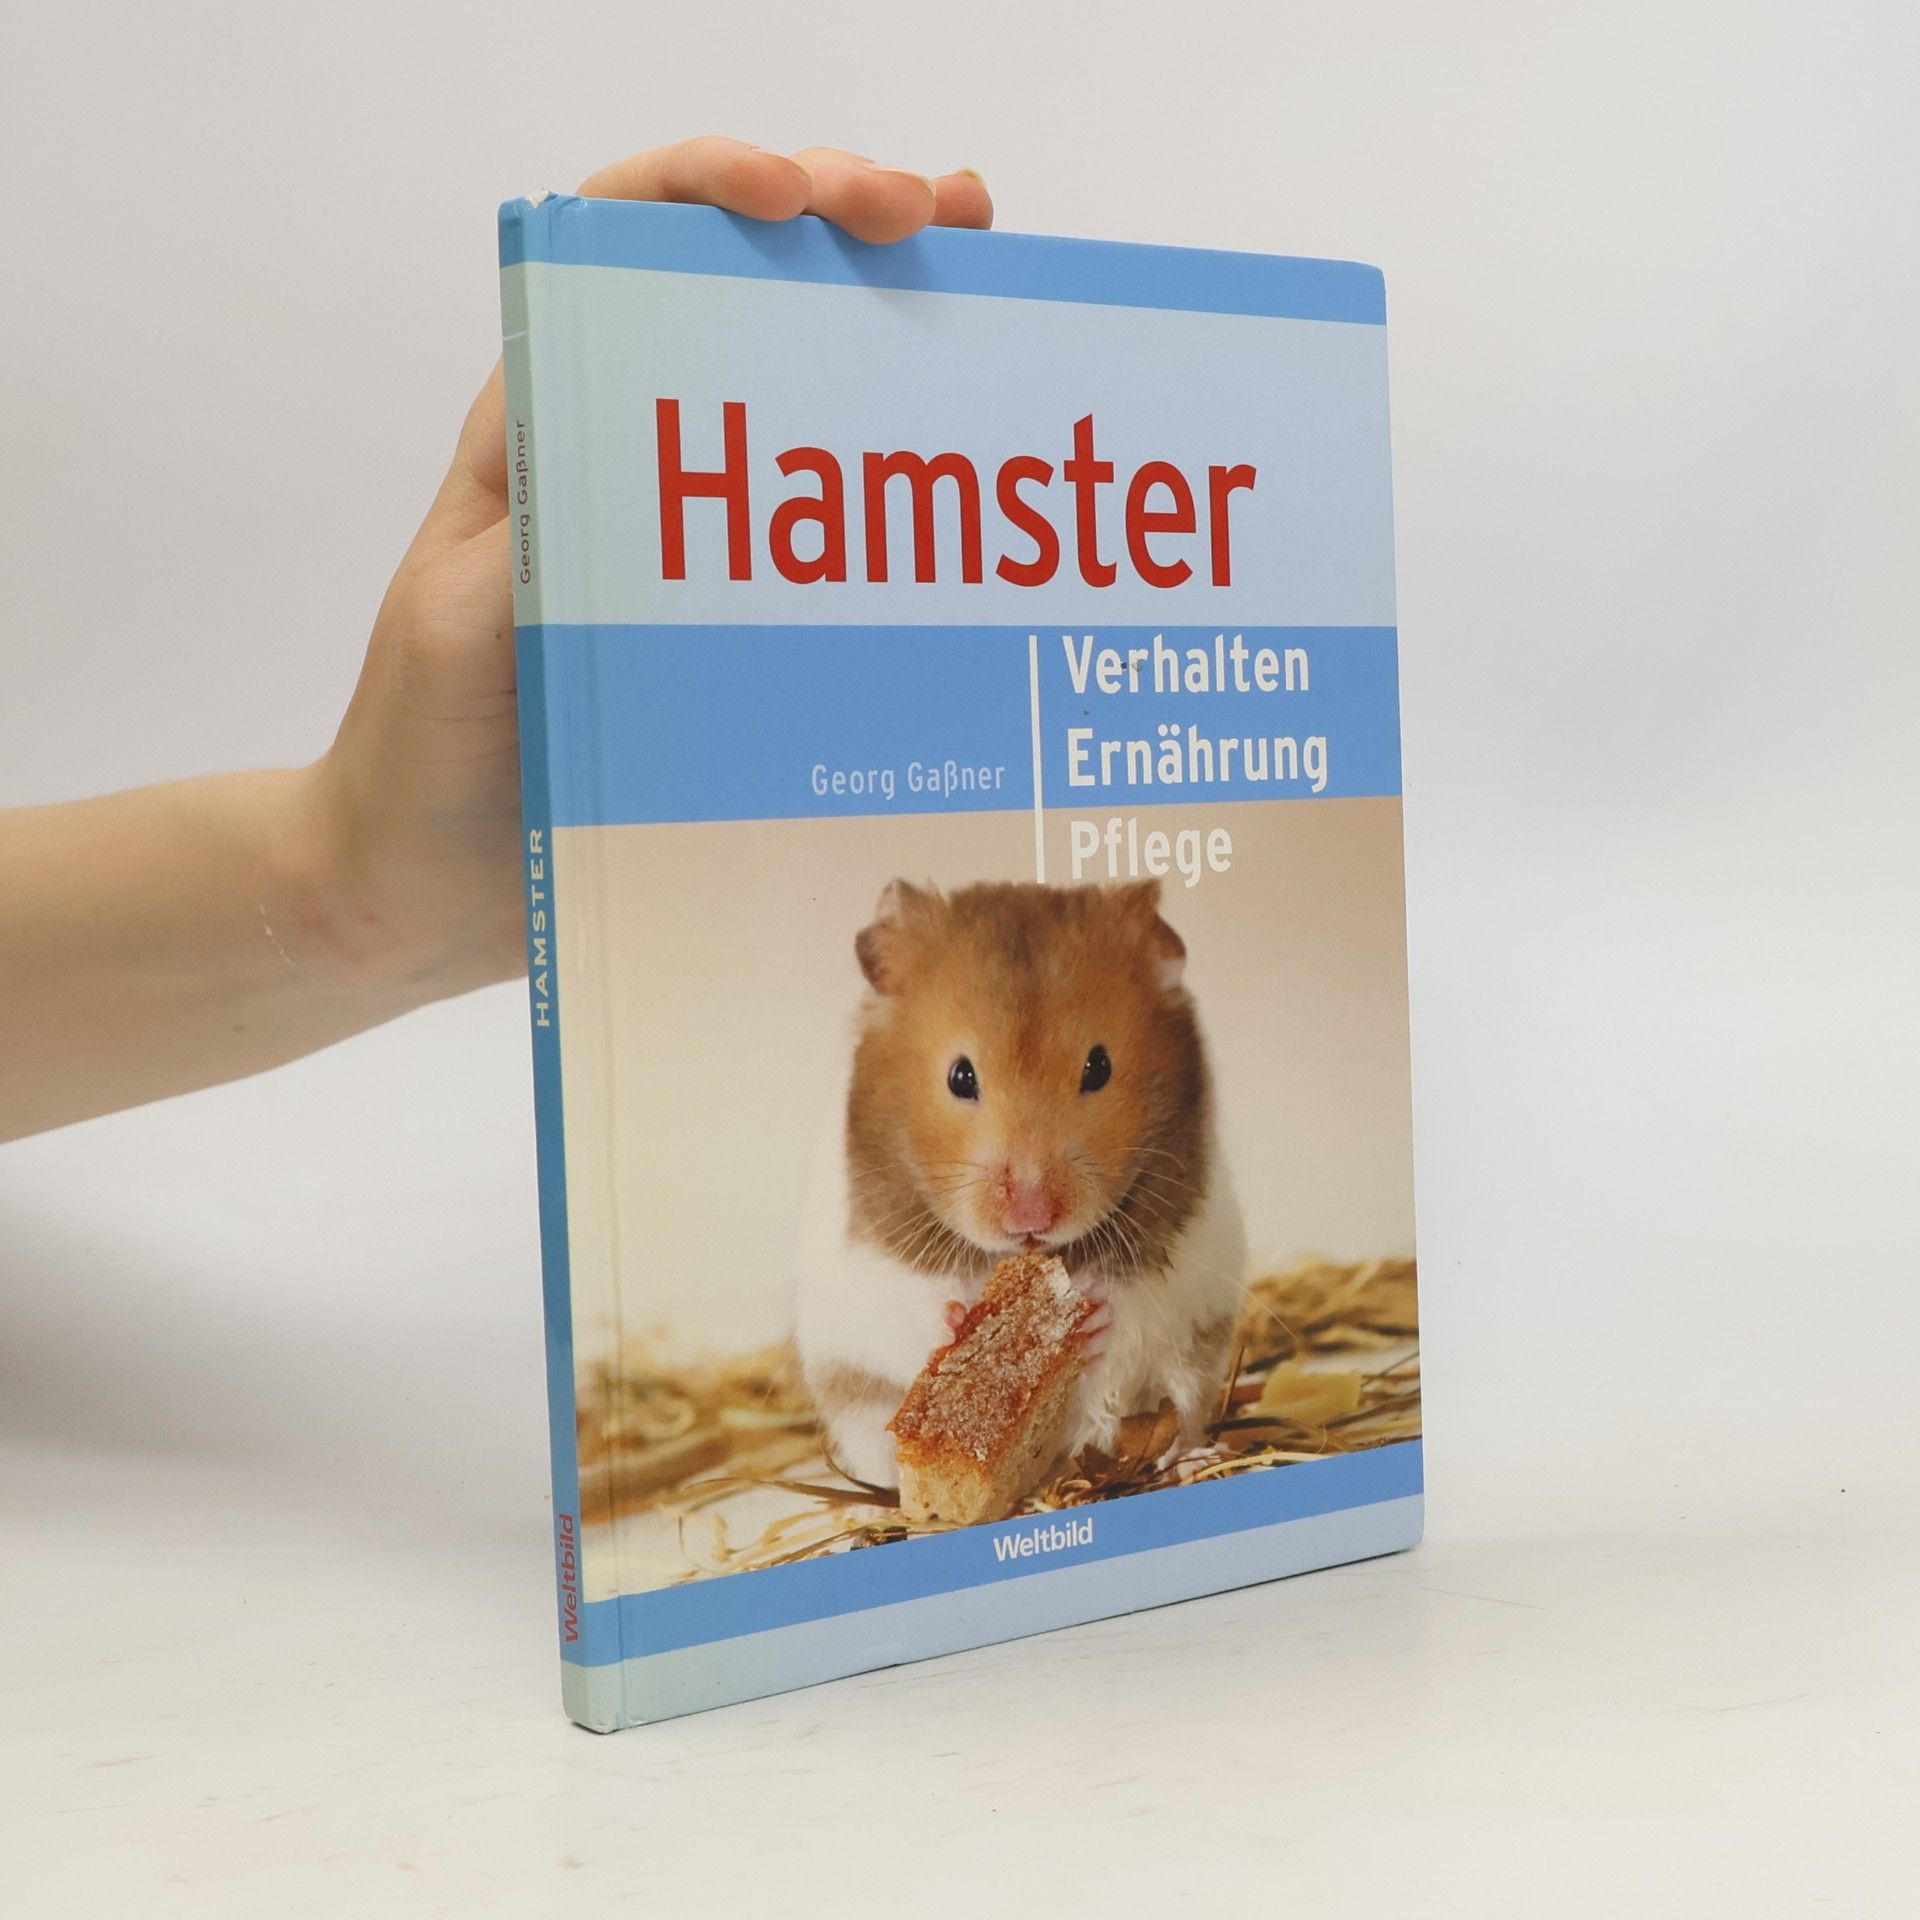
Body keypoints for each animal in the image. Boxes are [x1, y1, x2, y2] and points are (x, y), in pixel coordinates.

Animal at [794, 877, 1247, 1492]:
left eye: (1099, 1066)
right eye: (961, 1076)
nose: (1031, 1217)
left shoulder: (1181, 1259)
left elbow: (1129, 1309)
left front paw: (1092, 1318)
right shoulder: (871, 1269)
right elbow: (915, 1305)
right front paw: (955, 1324)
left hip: (1194, 1364)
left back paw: (1195, 1461)